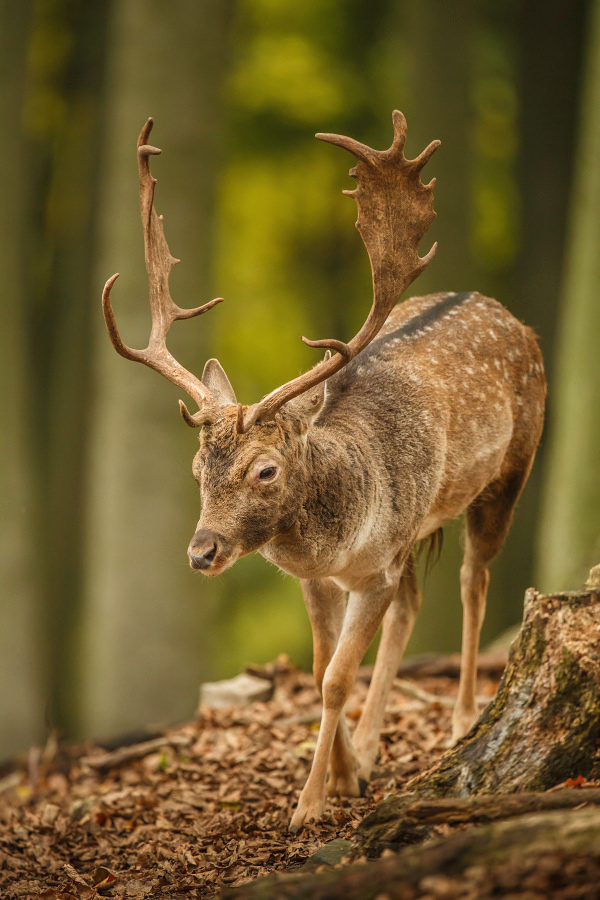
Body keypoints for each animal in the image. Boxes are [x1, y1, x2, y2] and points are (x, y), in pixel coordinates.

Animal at [102, 110, 544, 828]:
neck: (337, 540)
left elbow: (337, 676)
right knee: (413, 603)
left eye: (265, 471)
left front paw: (309, 804)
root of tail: (507, 313)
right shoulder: (323, 578)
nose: (201, 552)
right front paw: (348, 773)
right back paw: (372, 745)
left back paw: (462, 720)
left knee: (473, 581)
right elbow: (317, 669)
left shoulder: (375, 566)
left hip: (511, 470)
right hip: (418, 527)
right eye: (197, 468)